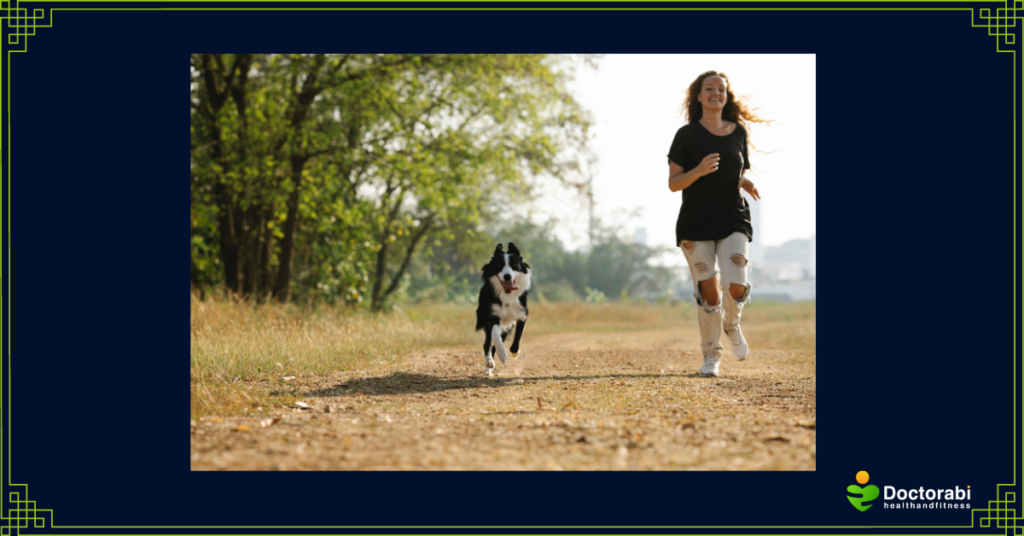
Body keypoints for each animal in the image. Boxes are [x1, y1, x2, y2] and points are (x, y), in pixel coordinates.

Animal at [475, 242, 532, 377]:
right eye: (499, 265)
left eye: (514, 265)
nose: (507, 276)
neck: (507, 296)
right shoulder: (494, 316)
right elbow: (495, 336)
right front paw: (503, 355)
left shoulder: (522, 313)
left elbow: (518, 335)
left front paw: (514, 352)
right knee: (487, 344)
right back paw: (488, 365)